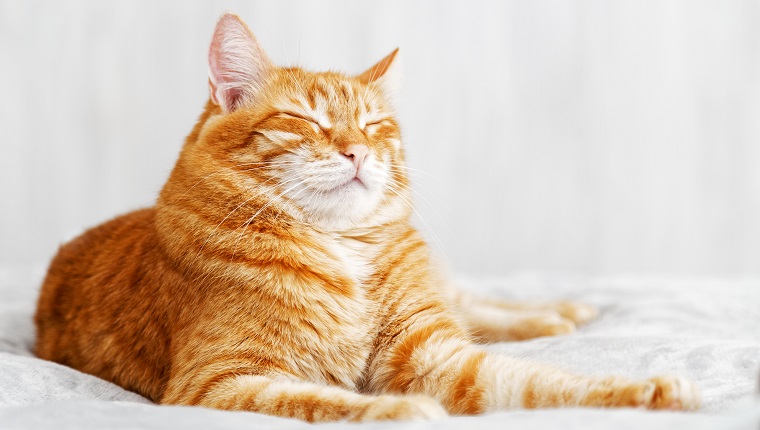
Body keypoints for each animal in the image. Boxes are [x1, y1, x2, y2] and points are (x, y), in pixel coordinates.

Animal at [35, 12, 700, 420]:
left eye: (376, 124)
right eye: (304, 120)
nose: (357, 150)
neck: (342, 252)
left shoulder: (435, 352)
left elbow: (544, 382)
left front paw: (644, 391)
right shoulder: (219, 383)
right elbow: (320, 402)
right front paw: (400, 410)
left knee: (474, 303)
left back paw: (560, 313)